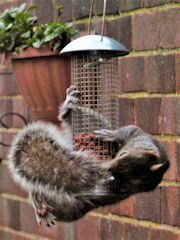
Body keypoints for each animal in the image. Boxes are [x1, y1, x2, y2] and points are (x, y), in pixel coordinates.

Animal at [7, 85, 169, 227]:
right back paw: (68, 107)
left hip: (69, 206)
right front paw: (113, 135)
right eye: (122, 153)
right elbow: (129, 129)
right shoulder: (138, 135)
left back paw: (40, 204)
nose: (106, 168)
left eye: (123, 175)